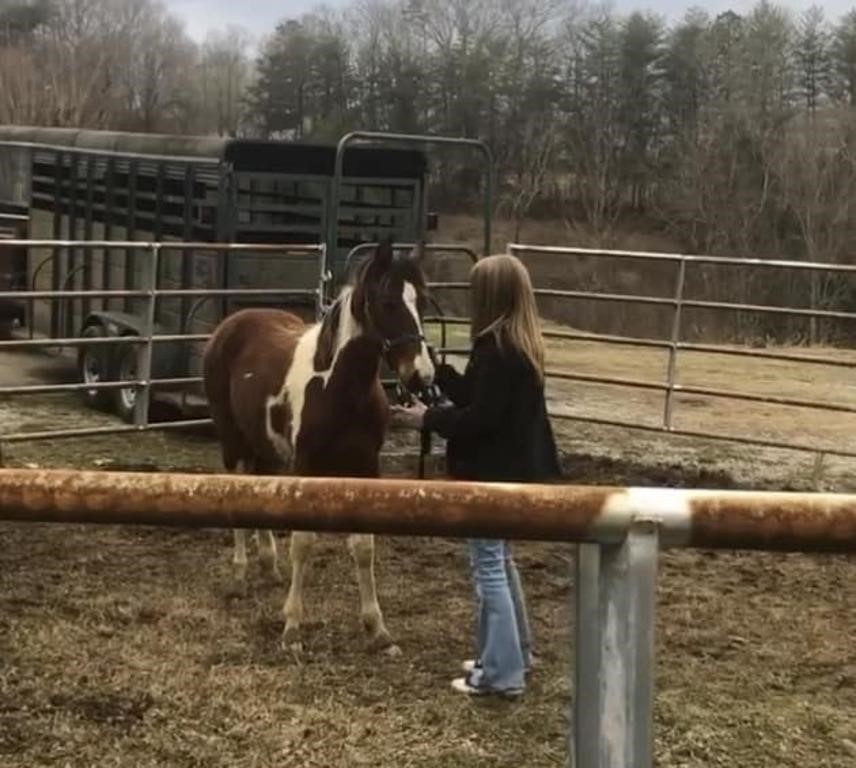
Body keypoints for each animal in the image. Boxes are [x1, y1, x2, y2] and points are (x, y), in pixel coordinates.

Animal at [201, 240, 434, 656]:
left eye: (422, 301)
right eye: (388, 302)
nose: (421, 376)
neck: (339, 385)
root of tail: (232, 323)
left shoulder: (366, 467)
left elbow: (363, 547)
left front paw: (378, 630)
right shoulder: (306, 465)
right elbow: (304, 542)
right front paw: (292, 628)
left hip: (267, 447)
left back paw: (269, 567)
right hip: (233, 441)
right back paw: (240, 576)